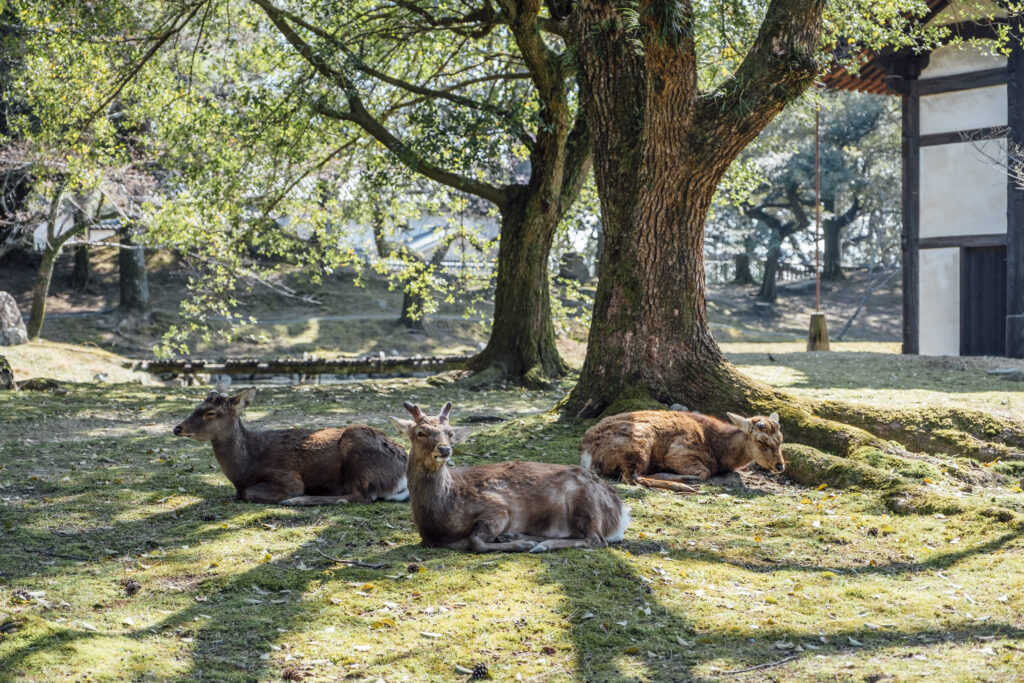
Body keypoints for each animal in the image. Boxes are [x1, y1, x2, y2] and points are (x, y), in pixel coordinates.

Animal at [172, 384, 409, 505]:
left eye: (211, 413)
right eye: (196, 407)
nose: (177, 428)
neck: (245, 470)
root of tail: (402, 475)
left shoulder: (286, 476)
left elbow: (247, 493)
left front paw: (290, 497)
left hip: (357, 444)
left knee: (360, 497)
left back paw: (296, 501)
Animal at [389, 401, 630, 553]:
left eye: (449, 432)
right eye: (420, 433)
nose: (445, 449)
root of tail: (621, 512)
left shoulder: (498, 507)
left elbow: (475, 541)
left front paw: (519, 546)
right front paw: (516, 541)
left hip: (584, 500)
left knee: (595, 539)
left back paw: (537, 545)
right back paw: (518, 537)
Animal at [579, 410, 784, 493]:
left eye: (781, 439)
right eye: (761, 441)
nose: (780, 466)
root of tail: (587, 454)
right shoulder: (679, 452)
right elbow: (705, 471)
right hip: (639, 444)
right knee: (632, 477)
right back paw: (682, 485)